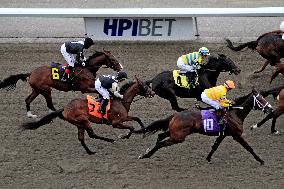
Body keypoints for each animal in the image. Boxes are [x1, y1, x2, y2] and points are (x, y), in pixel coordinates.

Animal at [20, 77, 155, 155]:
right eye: (145, 86)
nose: (153, 93)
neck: (121, 101)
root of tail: (65, 108)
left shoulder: (124, 117)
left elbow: (137, 119)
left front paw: (143, 129)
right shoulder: (116, 123)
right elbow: (131, 128)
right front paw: (124, 136)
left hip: (79, 124)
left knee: (81, 138)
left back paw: (90, 152)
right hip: (84, 121)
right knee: (92, 134)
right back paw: (110, 140)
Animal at [138, 88, 272, 164]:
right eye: (261, 99)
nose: (270, 109)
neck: (235, 113)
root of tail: (175, 115)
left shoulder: (223, 134)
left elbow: (215, 146)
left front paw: (208, 158)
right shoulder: (236, 135)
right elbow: (249, 148)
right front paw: (261, 160)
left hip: (175, 132)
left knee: (160, 136)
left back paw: (146, 152)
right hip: (178, 137)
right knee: (161, 143)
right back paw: (145, 155)